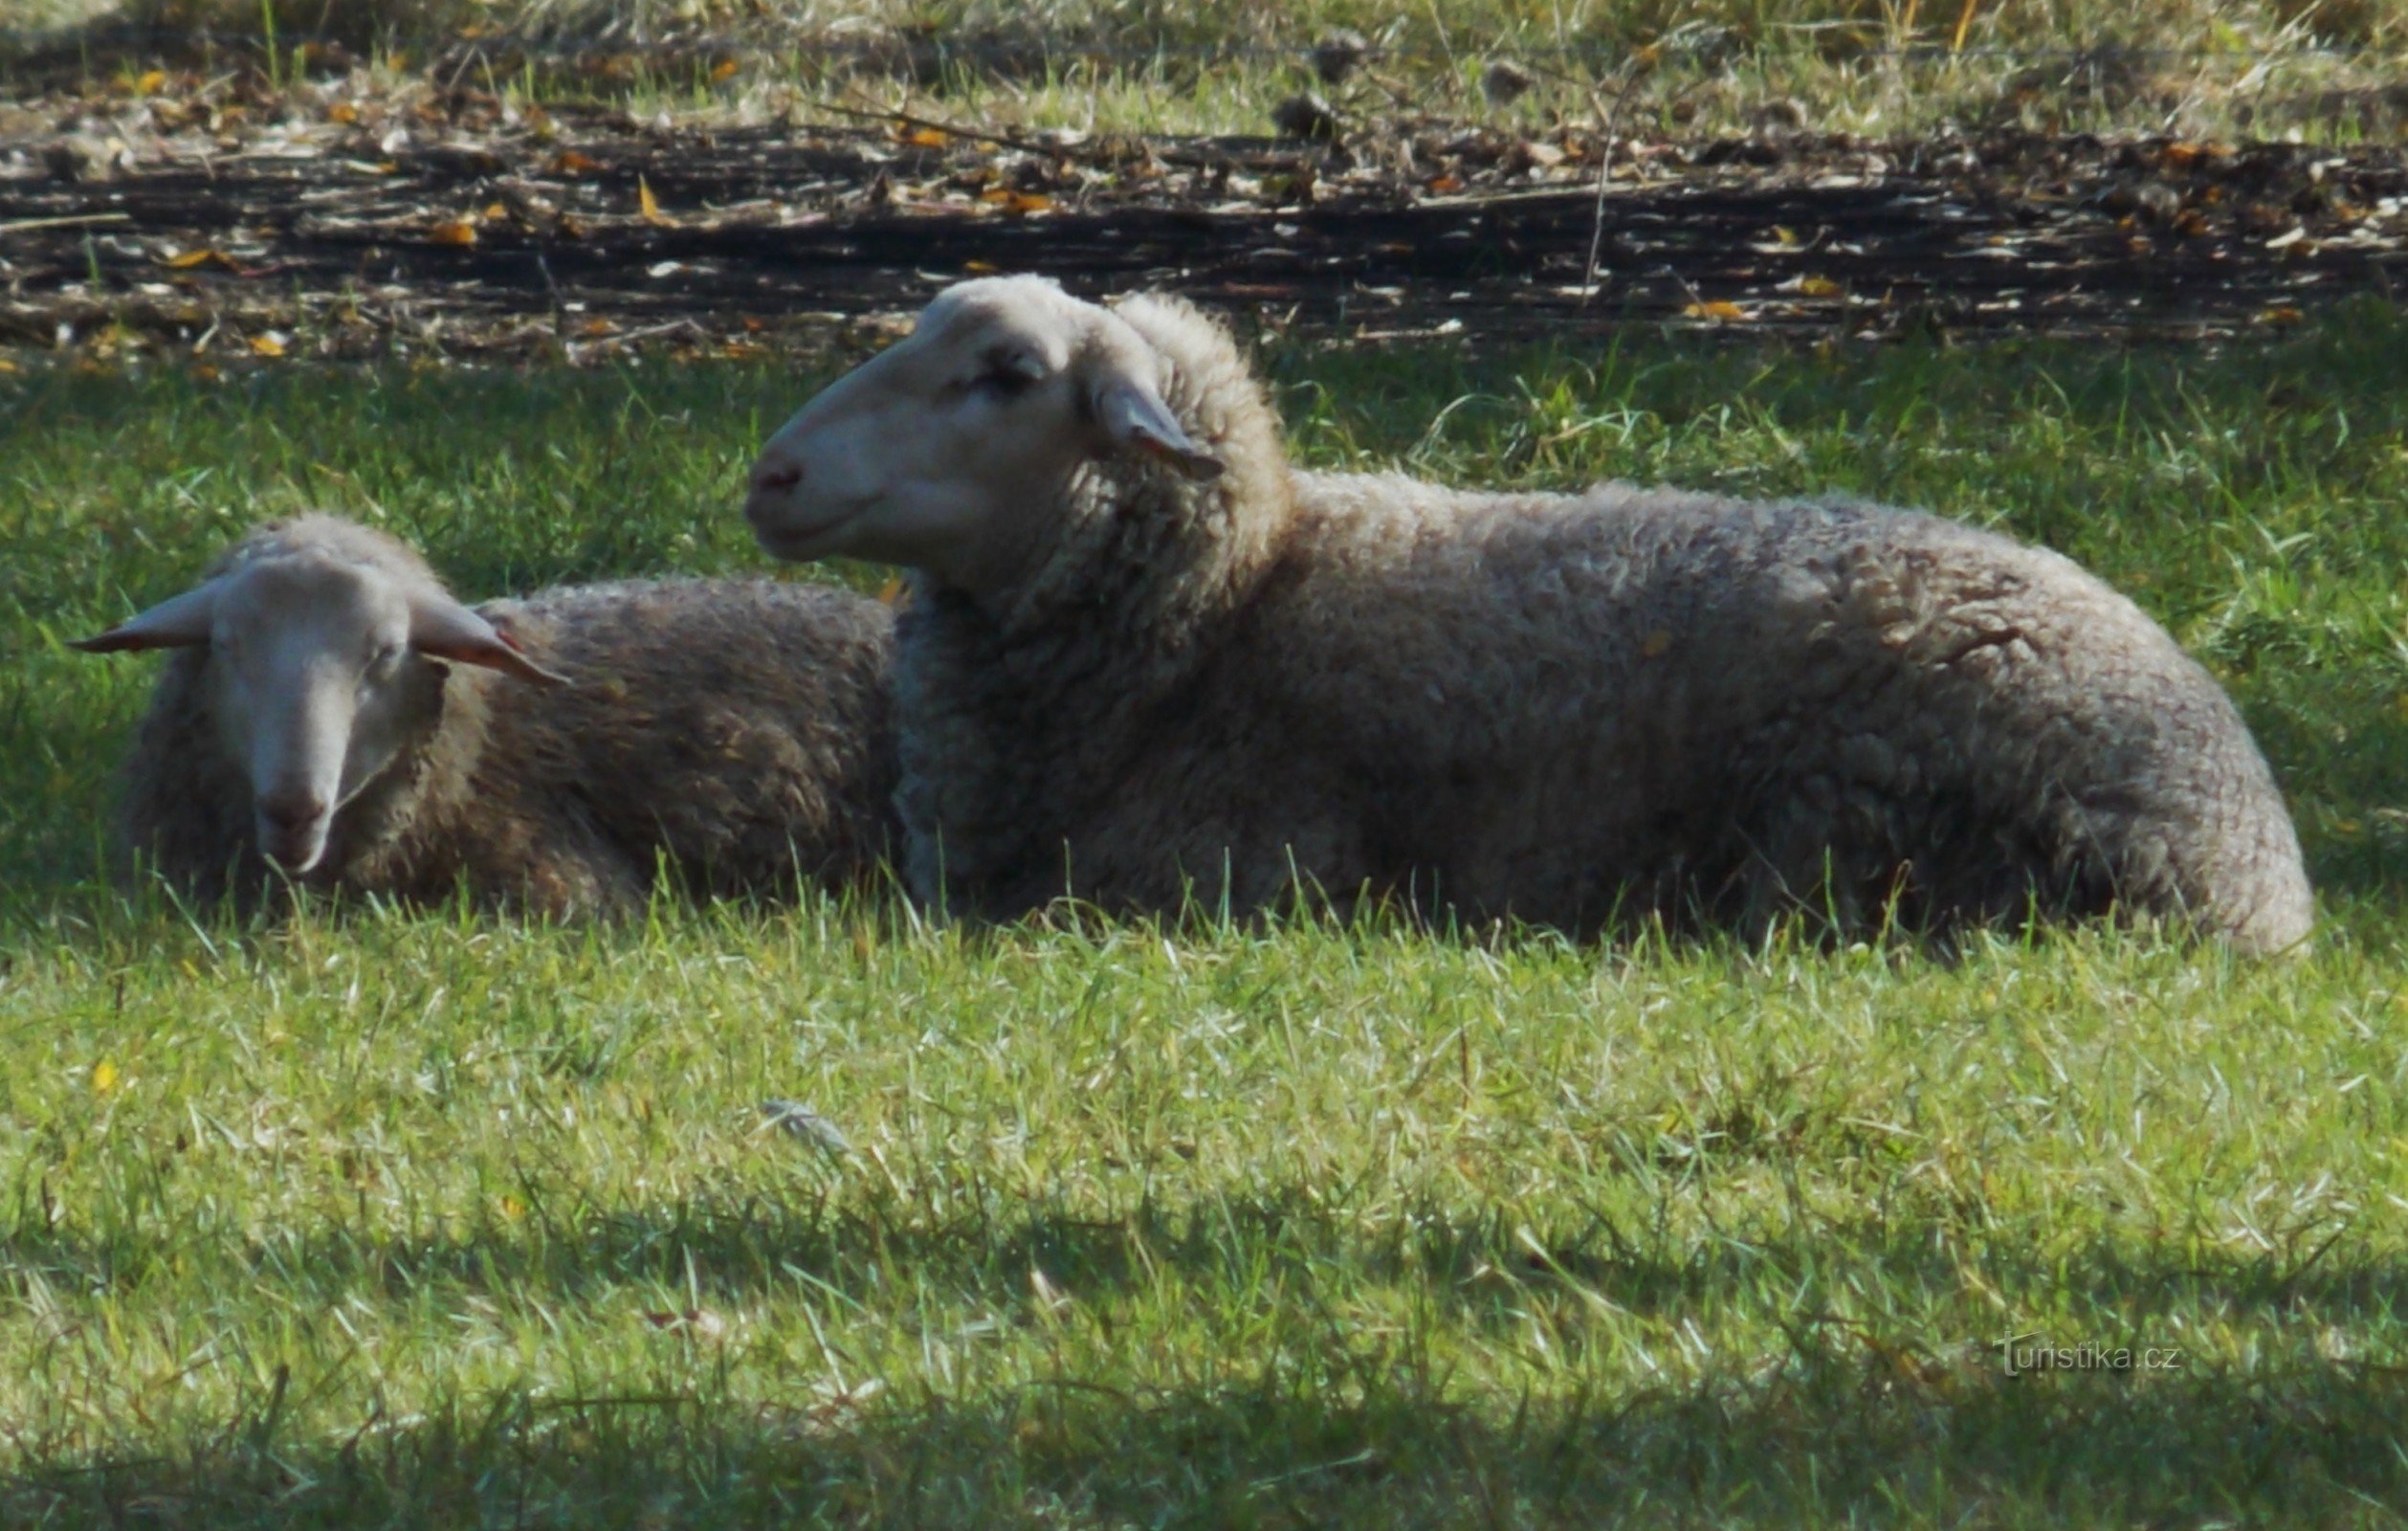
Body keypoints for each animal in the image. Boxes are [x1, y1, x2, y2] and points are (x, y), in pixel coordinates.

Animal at [737, 269, 2311, 953]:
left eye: (1006, 373)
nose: (772, 472)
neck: (1224, 612)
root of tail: (2261, 874)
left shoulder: (1227, 876)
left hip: (1856, 838)